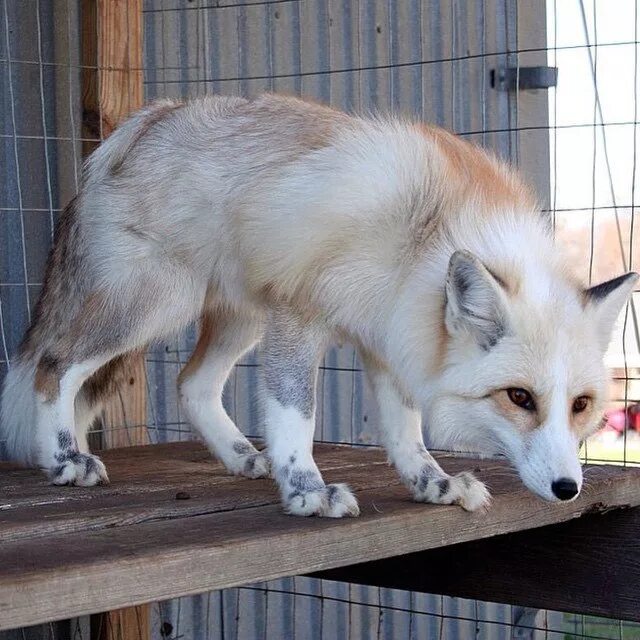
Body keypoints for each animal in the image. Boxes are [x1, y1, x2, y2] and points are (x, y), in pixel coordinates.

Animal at [0, 95, 636, 516]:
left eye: (580, 405)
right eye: (520, 398)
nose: (567, 489)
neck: (424, 235)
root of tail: (140, 122)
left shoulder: (394, 335)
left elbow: (406, 433)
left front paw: (431, 484)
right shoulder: (301, 311)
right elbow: (296, 416)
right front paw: (307, 490)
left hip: (240, 320)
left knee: (191, 384)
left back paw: (240, 457)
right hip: (153, 304)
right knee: (55, 364)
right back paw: (64, 459)